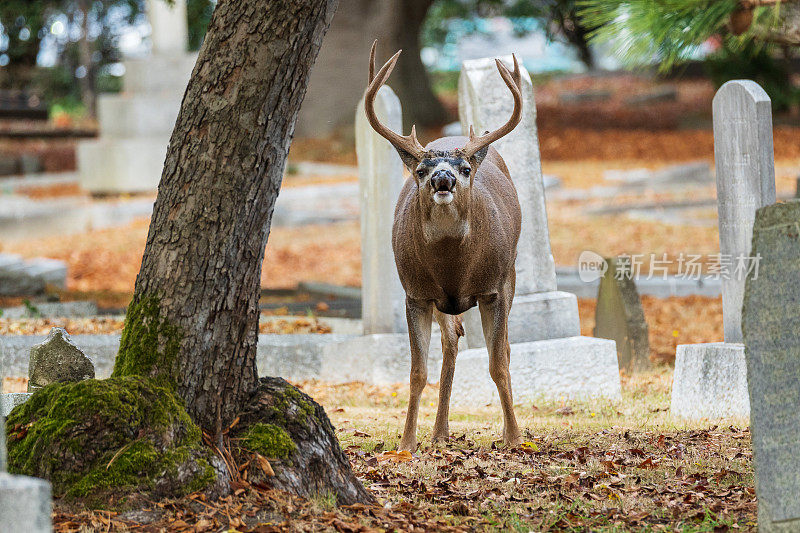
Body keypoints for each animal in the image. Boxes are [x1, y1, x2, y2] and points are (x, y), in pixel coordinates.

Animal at [364, 40, 524, 448]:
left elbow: (498, 364)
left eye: (465, 169)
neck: (453, 266)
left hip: (511, 271)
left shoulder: (494, 286)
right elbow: (417, 372)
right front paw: (406, 444)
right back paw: (439, 433)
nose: (442, 178)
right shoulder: (416, 292)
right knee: (451, 341)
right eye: (420, 170)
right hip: (440, 302)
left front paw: (515, 438)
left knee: (503, 349)